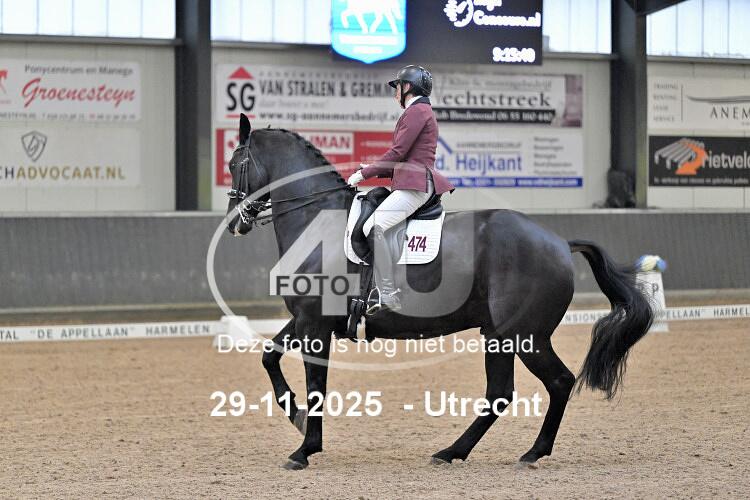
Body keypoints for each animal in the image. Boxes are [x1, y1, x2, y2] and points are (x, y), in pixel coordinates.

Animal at [225, 114, 654, 470]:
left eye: (234, 164)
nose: (234, 224)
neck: (316, 221)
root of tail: (561, 243)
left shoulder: (314, 324)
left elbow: (316, 386)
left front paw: (304, 450)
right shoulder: (306, 319)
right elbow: (269, 357)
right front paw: (298, 420)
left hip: (526, 335)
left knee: (558, 382)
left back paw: (531, 453)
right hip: (498, 335)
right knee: (500, 393)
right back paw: (452, 452)